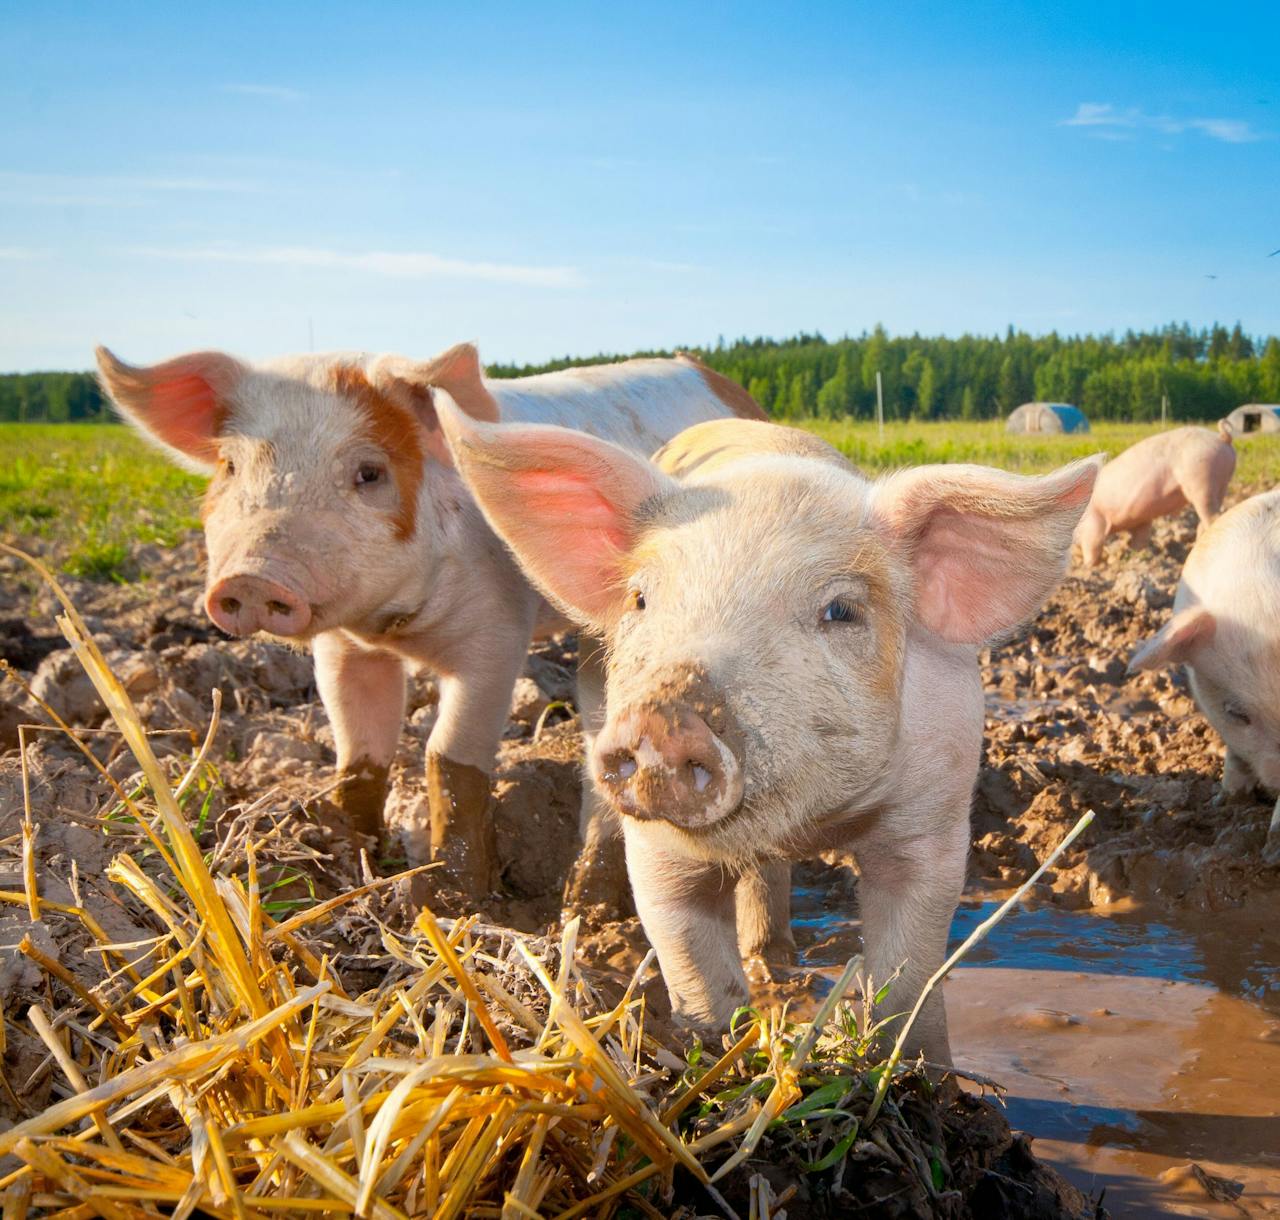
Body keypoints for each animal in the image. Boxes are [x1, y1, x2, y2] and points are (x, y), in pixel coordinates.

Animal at [97, 337, 768, 890]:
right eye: (231, 467)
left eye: (369, 472)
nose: (253, 578)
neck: (396, 629)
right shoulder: (343, 650)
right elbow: (358, 751)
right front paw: (352, 855)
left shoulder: (498, 636)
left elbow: (449, 756)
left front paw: (454, 896)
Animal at [440, 404, 1100, 1059]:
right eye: (641, 599)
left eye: (841, 611)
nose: (664, 719)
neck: (814, 822)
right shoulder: (656, 847)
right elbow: (688, 952)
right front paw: (719, 1048)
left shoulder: (934, 811)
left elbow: (909, 972)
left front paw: (921, 1070)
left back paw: (778, 959)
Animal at [1075, 422, 1233, 565]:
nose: (1076, 557)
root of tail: (1222, 437)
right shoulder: (1140, 520)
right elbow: (1141, 539)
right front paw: (1136, 555)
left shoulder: (1094, 520)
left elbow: (1093, 544)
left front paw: (1089, 566)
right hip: (1220, 485)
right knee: (1205, 521)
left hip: (1201, 481)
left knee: (1213, 517)